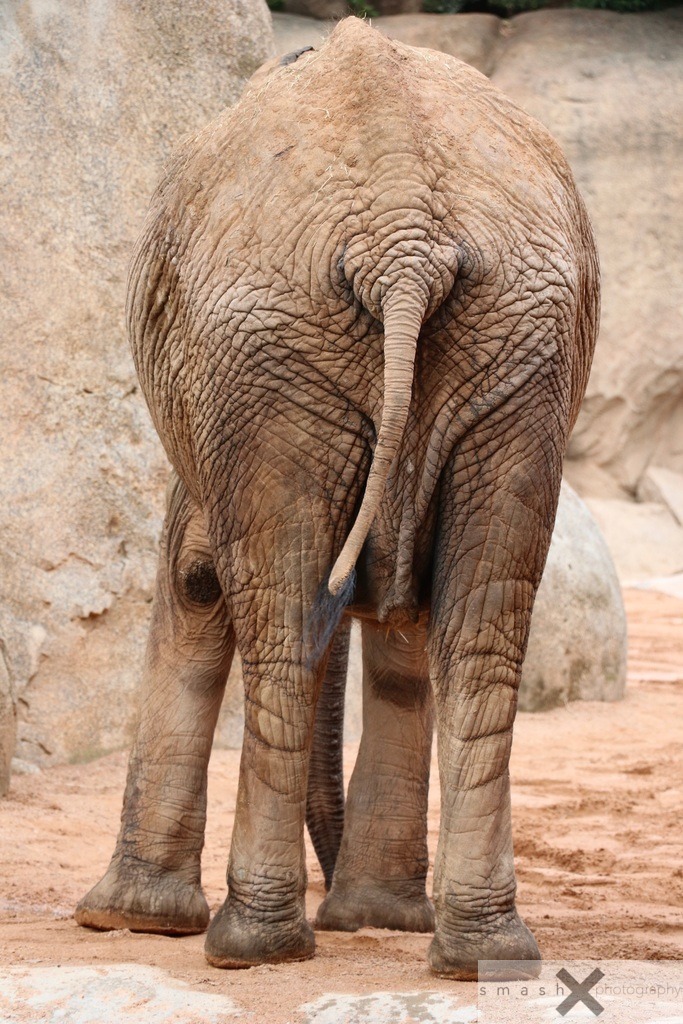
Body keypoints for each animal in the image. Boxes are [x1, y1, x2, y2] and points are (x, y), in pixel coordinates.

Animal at [75, 18, 599, 980]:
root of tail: (404, 239)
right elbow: (406, 617)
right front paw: (380, 921)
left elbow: (194, 581)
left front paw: (122, 922)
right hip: (517, 345)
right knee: (476, 623)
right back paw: (482, 954)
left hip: (276, 347)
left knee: (280, 617)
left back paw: (250, 947)